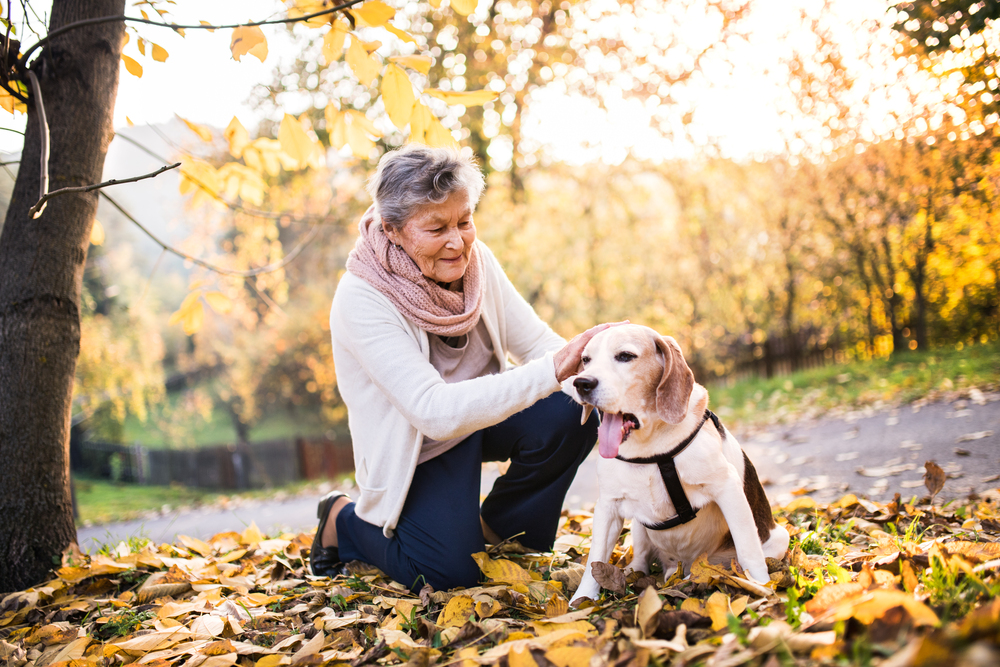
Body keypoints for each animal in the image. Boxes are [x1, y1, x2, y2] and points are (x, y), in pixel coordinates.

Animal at [564, 326, 788, 608]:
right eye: (586, 360)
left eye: (625, 356)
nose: (582, 383)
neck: (650, 449)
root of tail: (681, 567)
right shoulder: (608, 505)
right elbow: (595, 559)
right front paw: (582, 600)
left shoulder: (728, 488)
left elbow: (748, 549)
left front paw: (761, 588)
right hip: (639, 527)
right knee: (641, 558)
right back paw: (633, 574)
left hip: (779, 538)